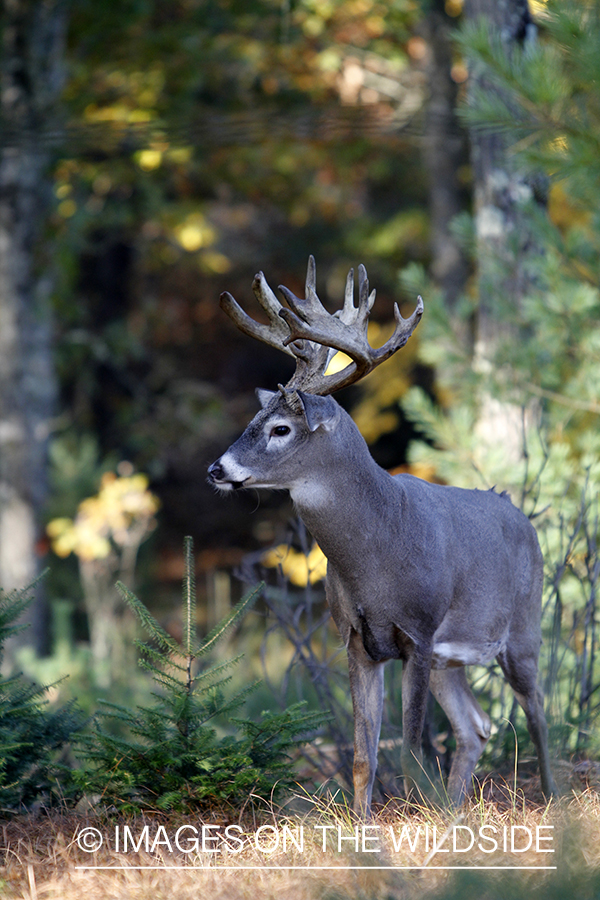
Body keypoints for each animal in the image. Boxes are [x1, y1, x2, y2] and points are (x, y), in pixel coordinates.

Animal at [210, 255, 556, 816]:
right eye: (253, 419)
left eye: (282, 428)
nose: (217, 470)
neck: (377, 552)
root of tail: (518, 512)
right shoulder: (356, 638)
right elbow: (361, 755)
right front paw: (362, 826)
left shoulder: (418, 630)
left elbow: (412, 747)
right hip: (449, 659)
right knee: (476, 725)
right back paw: (457, 808)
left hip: (523, 626)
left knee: (537, 708)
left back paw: (551, 798)